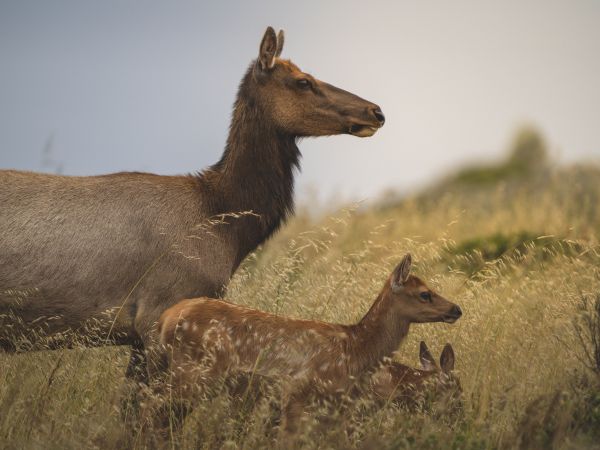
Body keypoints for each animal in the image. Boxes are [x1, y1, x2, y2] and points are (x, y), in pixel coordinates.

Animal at [156, 255, 464, 438]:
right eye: (424, 294)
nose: (456, 309)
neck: (354, 350)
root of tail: (166, 318)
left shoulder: (336, 409)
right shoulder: (297, 393)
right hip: (192, 373)